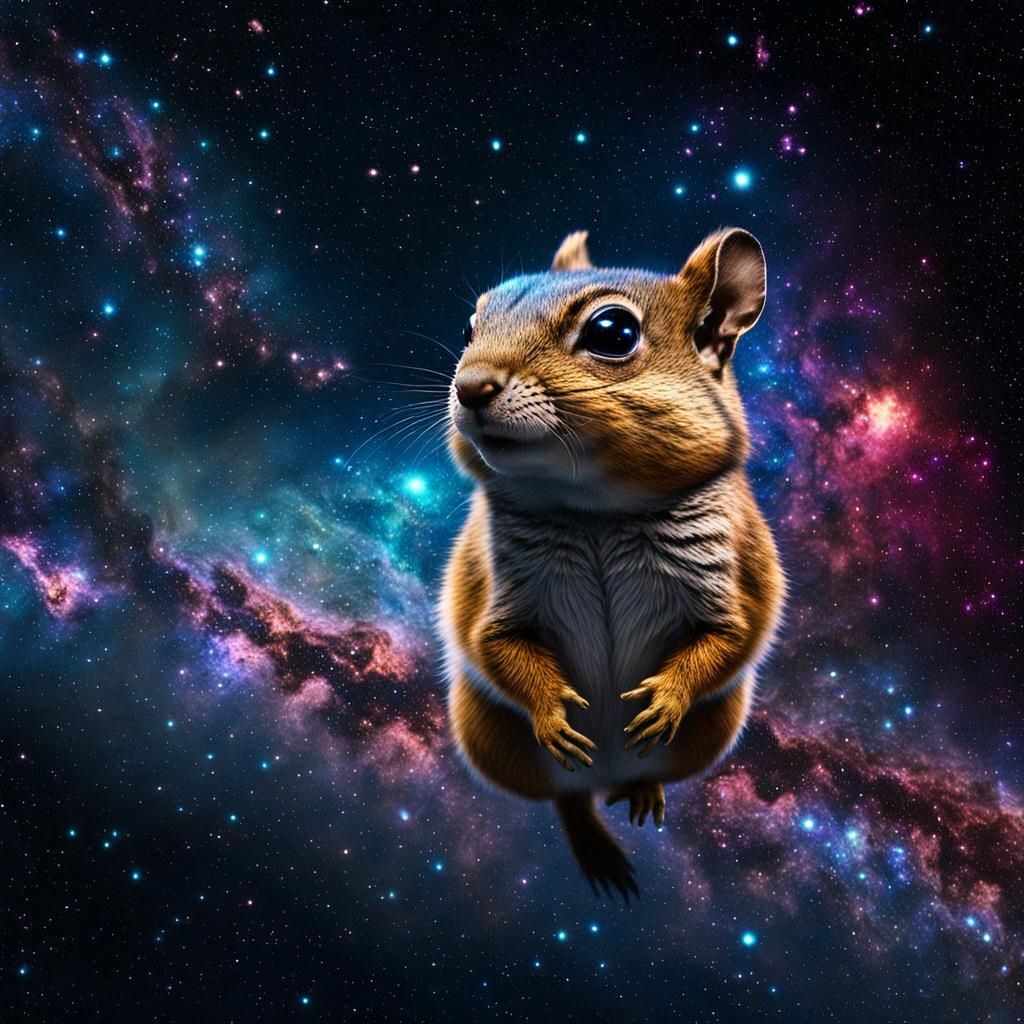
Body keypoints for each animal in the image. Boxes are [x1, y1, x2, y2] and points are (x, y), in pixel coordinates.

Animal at [436, 228, 786, 900]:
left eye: (613, 332)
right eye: (469, 325)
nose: (470, 386)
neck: (595, 510)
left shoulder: (729, 576)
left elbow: (732, 638)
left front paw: (667, 698)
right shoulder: (496, 590)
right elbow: (492, 643)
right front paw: (552, 710)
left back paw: (642, 788)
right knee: (568, 797)